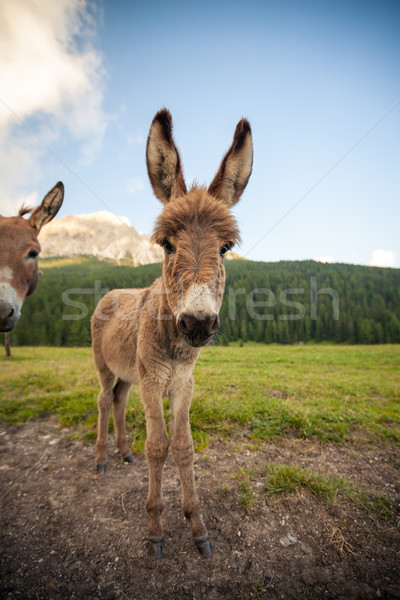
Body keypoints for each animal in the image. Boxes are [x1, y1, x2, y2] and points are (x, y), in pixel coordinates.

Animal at [92, 109, 252, 556]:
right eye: (166, 244)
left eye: (225, 248)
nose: (197, 322)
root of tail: (112, 291)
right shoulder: (153, 380)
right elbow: (158, 446)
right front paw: (155, 528)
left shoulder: (182, 382)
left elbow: (183, 447)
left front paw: (197, 526)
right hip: (105, 365)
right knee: (102, 399)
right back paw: (102, 459)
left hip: (128, 375)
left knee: (117, 400)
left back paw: (123, 453)